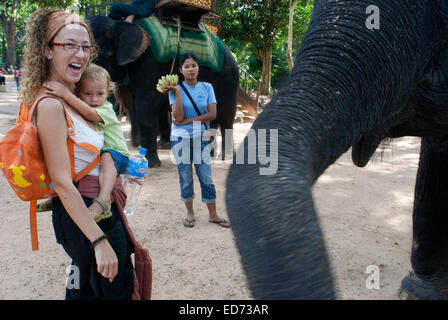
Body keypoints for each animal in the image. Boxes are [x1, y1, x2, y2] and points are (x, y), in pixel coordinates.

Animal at [86, 14, 240, 168]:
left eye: (99, 56)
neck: (122, 23)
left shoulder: (149, 64)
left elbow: (145, 106)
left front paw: (151, 164)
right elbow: (135, 108)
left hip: (229, 81)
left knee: (226, 116)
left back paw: (225, 157)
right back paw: (208, 154)